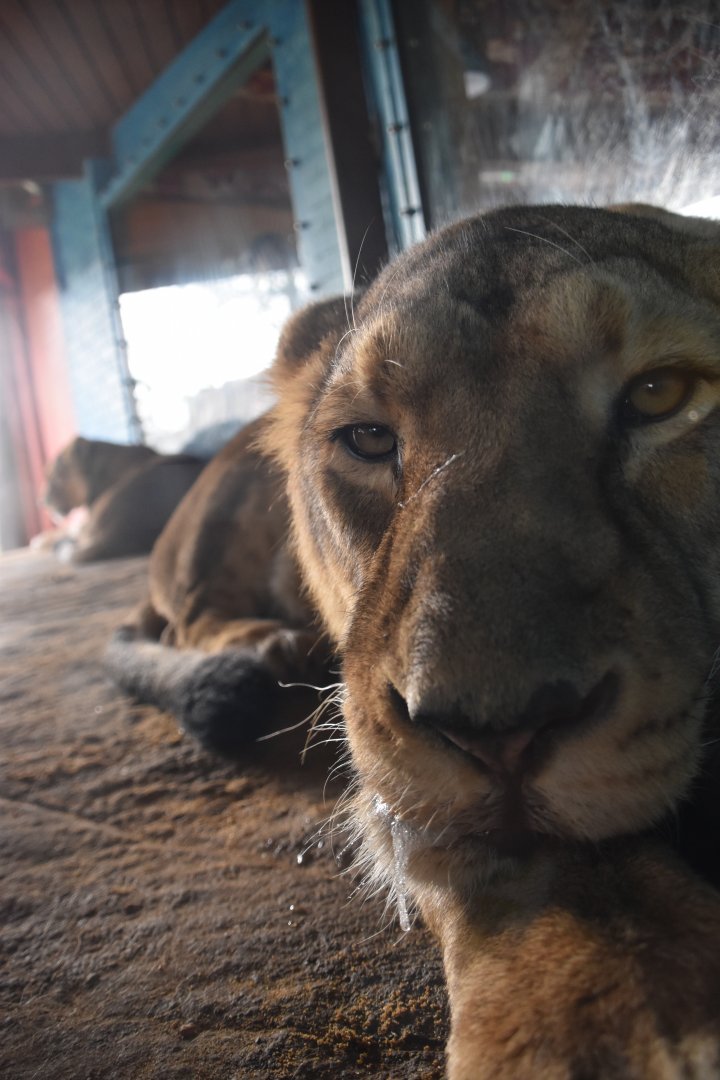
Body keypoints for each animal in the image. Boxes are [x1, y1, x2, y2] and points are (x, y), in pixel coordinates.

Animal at [108, 204, 720, 1076]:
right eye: (368, 439)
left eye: (659, 395)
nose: (496, 736)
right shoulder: (392, 780)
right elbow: (572, 885)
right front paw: (619, 1033)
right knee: (190, 616)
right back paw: (266, 649)